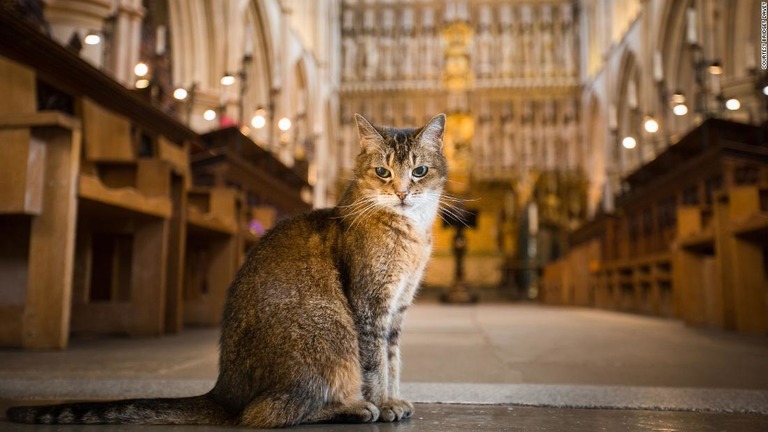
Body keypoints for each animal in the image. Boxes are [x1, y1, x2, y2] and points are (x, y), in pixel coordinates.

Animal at [6, 113, 448, 426]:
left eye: (419, 171)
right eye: (382, 172)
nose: (402, 193)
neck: (410, 232)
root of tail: (222, 392)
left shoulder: (397, 309)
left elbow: (393, 361)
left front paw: (394, 397)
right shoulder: (371, 308)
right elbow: (375, 365)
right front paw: (382, 403)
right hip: (331, 331)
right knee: (263, 414)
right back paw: (351, 408)